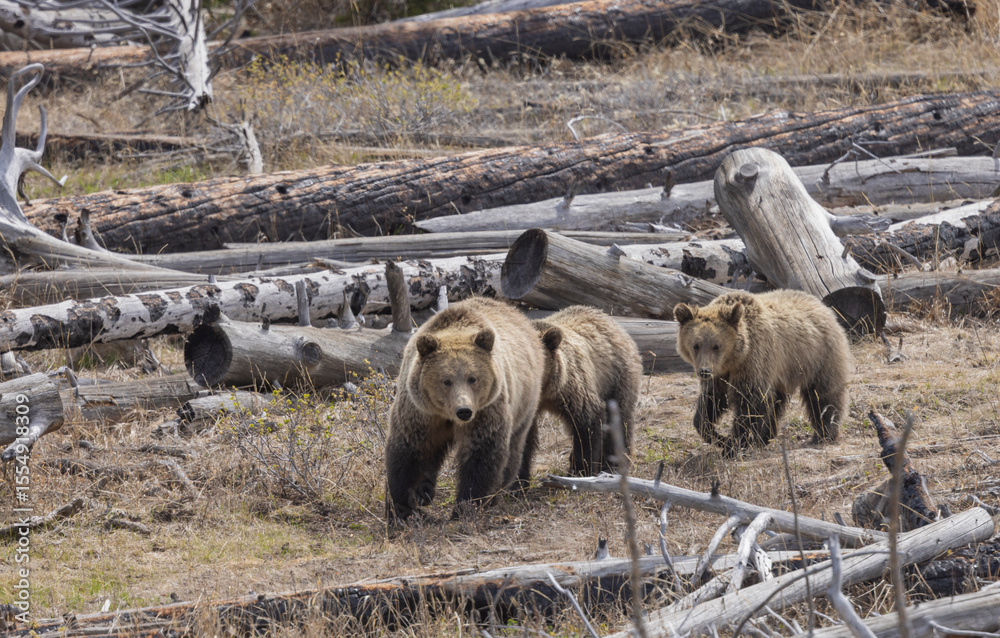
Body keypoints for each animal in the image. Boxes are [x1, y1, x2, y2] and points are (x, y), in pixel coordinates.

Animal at [385, 297, 545, 522]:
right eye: (446, 380)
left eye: (473, 378)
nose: (464, 410)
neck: (447, 415)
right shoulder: (420, 412)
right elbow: (408, 450)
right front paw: (402, 506)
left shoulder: (486, 410)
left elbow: (481, 454)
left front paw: (466, 507)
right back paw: (426, 491)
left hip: (524, 401)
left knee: (515, 447)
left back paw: (503, 490)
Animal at [532, 306, 644, 475]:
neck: (546, 393)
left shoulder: (573, 390)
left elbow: (588, 423)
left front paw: (580, 470)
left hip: (616, 377)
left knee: (620, 418)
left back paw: (614, 463)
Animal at [673, 290, 850, 454]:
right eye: (695, 345)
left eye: (716, 346)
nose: (704, 371)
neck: (735, 359)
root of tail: (824, 307)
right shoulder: (720, 376)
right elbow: (712, 401)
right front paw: (718, 437)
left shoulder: (754, 362)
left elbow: (751, 403)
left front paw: (734, 444)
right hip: (783, 372)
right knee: (776, 401)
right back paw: (766, 435)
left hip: (818, 357)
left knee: (824, 394)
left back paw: (824, 433)